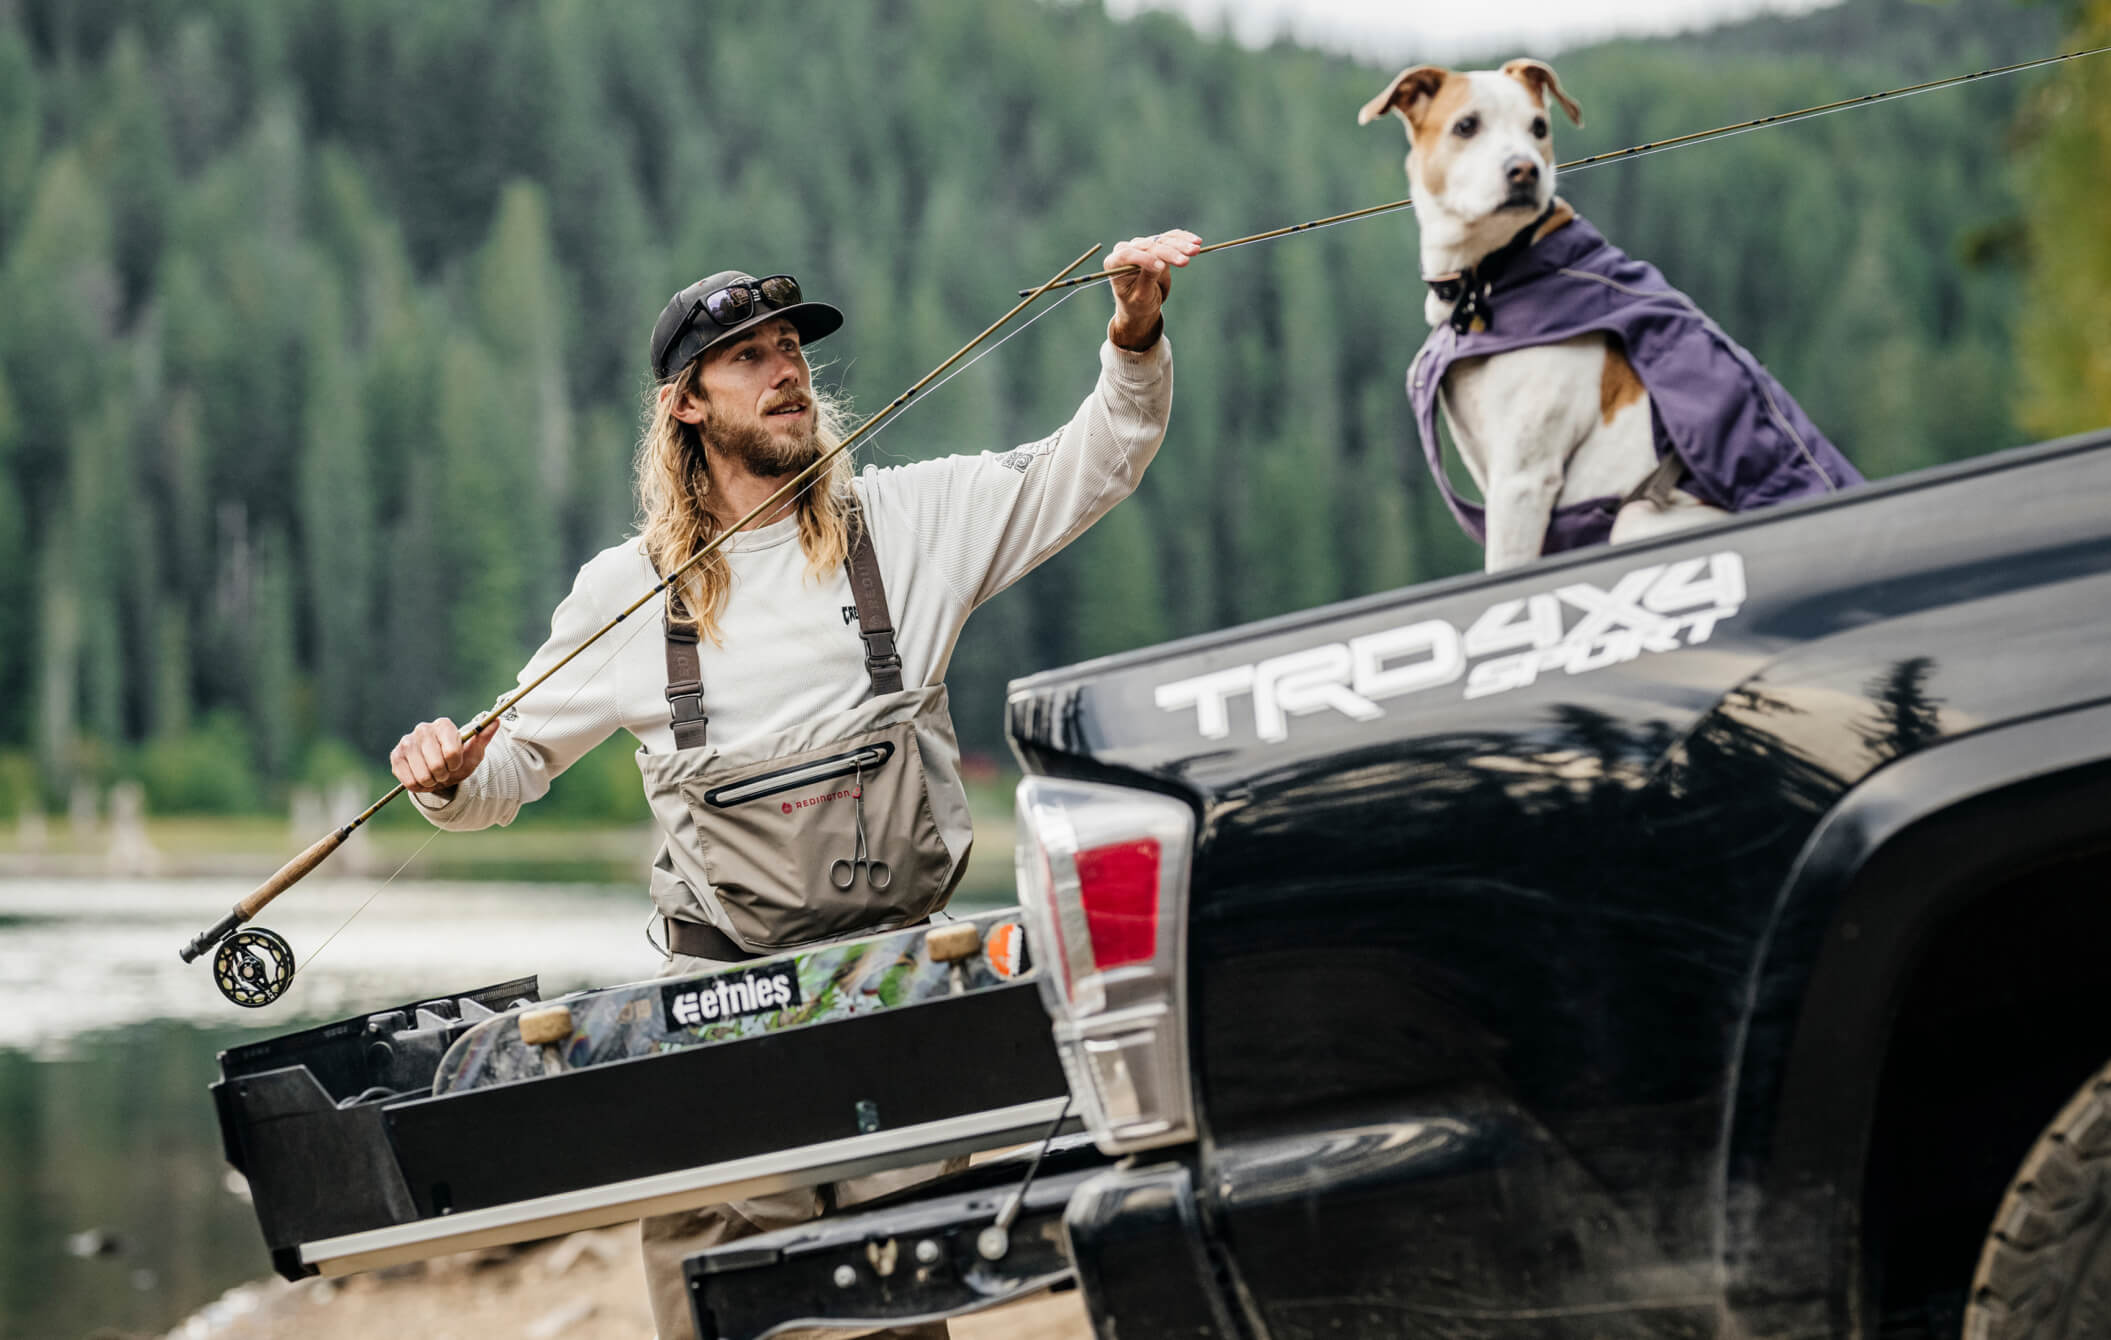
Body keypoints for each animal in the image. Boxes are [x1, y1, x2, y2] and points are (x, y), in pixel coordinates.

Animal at [1359, 59, 1857, 569]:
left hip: (1634, 516)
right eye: (1465, 126)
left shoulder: (1522, 480)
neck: (1493, 272)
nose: (1525, 169)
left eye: (1539, 128)